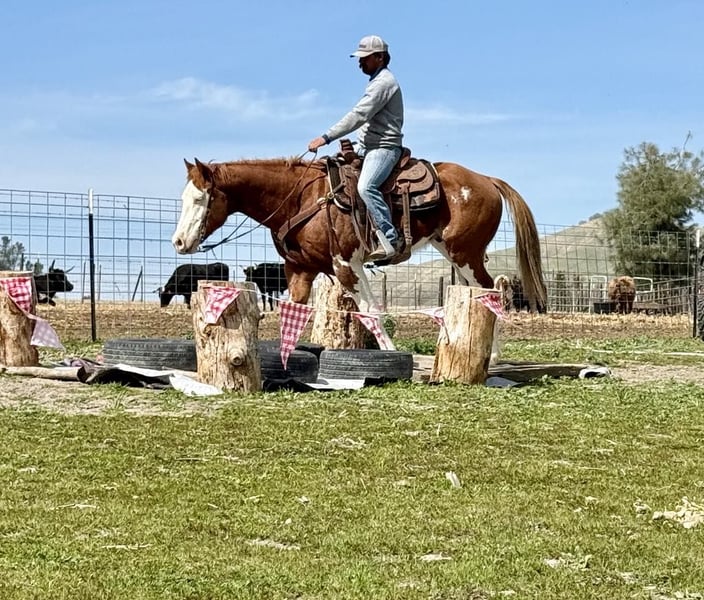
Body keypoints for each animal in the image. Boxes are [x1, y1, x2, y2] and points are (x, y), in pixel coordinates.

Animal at [171, 156, 546, 348]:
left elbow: (370, 311)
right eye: (183, 197)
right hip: (456, 252)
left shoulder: (346, 265)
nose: (178, 242)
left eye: (201, 198)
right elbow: (292, 313)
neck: (301, 198)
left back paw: (490, 355)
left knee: (490, 292)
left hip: (466, 252)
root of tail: (487, 179)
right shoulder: (299, 269)